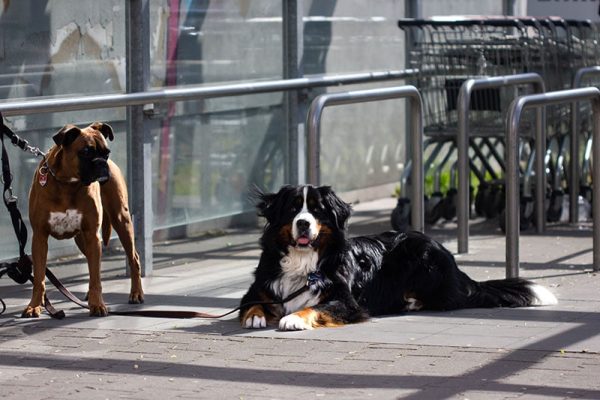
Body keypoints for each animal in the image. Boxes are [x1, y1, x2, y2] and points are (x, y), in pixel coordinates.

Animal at [23, 122, 146, 318]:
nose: (102, 163)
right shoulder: (40, 238)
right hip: (82, 239)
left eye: (106, 152)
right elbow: (39, 277)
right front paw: (34, 305)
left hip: (121, 221)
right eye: (86, 152)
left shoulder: (92, 235)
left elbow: (95, 276)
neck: (67, 183)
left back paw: (136, 293)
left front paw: (97, 305)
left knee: (134, 258)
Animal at [239, 184, 556, 332]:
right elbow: (252, 302)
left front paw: (293, 318)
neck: (303, 261)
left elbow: (314, 306)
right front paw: (255, 316)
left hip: (420, 254)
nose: (303, 224)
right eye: (293, 209)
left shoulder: (347, 302)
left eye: (317, 210)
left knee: (449, 300)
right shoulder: (260, 287)